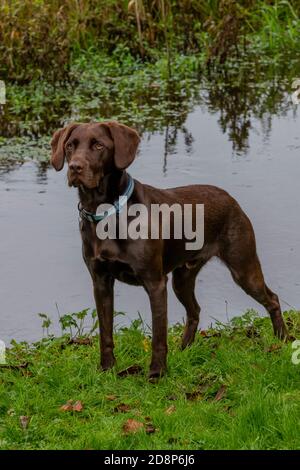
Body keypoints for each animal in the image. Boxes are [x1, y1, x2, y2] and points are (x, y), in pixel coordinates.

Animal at [50, 121, 288, 378]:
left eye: (98, 145)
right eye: (70, 146)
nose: (74, 167)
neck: (106, 213)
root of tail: (230, 198)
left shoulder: (155, 283)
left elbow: (158, 337)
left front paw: (157, 373)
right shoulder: (101, 282)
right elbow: (106, 333)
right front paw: (106, 369)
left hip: (243, 268)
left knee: (272, 299)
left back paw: (282, 340)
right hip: (182, 279)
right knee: (194, 311)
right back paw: (185, 350)